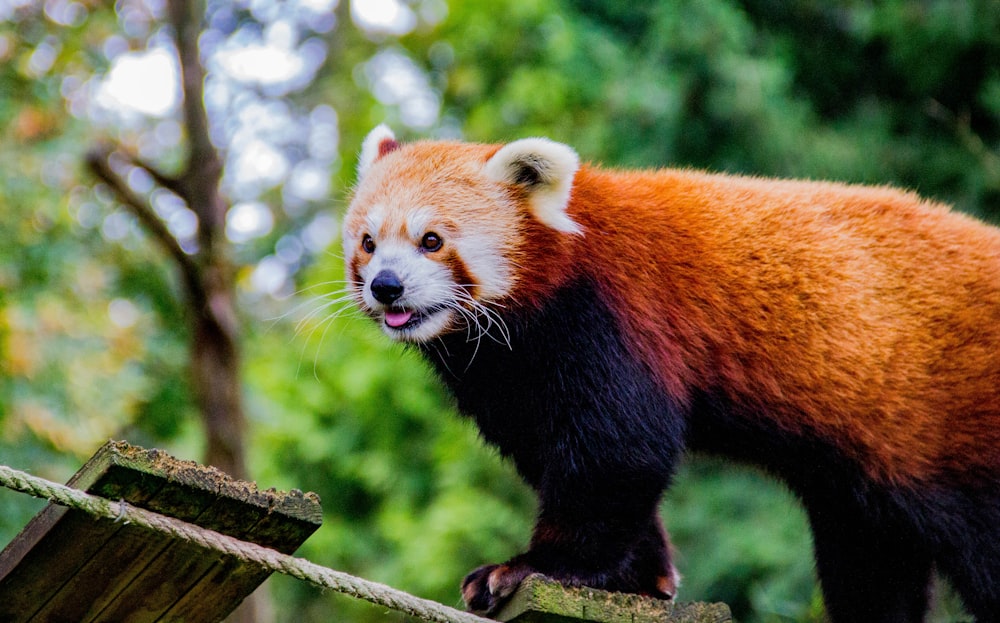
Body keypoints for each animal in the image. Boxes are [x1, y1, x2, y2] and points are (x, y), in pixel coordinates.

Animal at [344, 124, 1000, 620]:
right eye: (369, 243)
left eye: (431, 240)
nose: (386, 287)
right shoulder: (512, 377)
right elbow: (565, 454)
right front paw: (643, 576)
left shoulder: (617, 318)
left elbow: (622, 450)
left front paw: (536, 566)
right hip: (867, 471)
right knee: (871, 560)